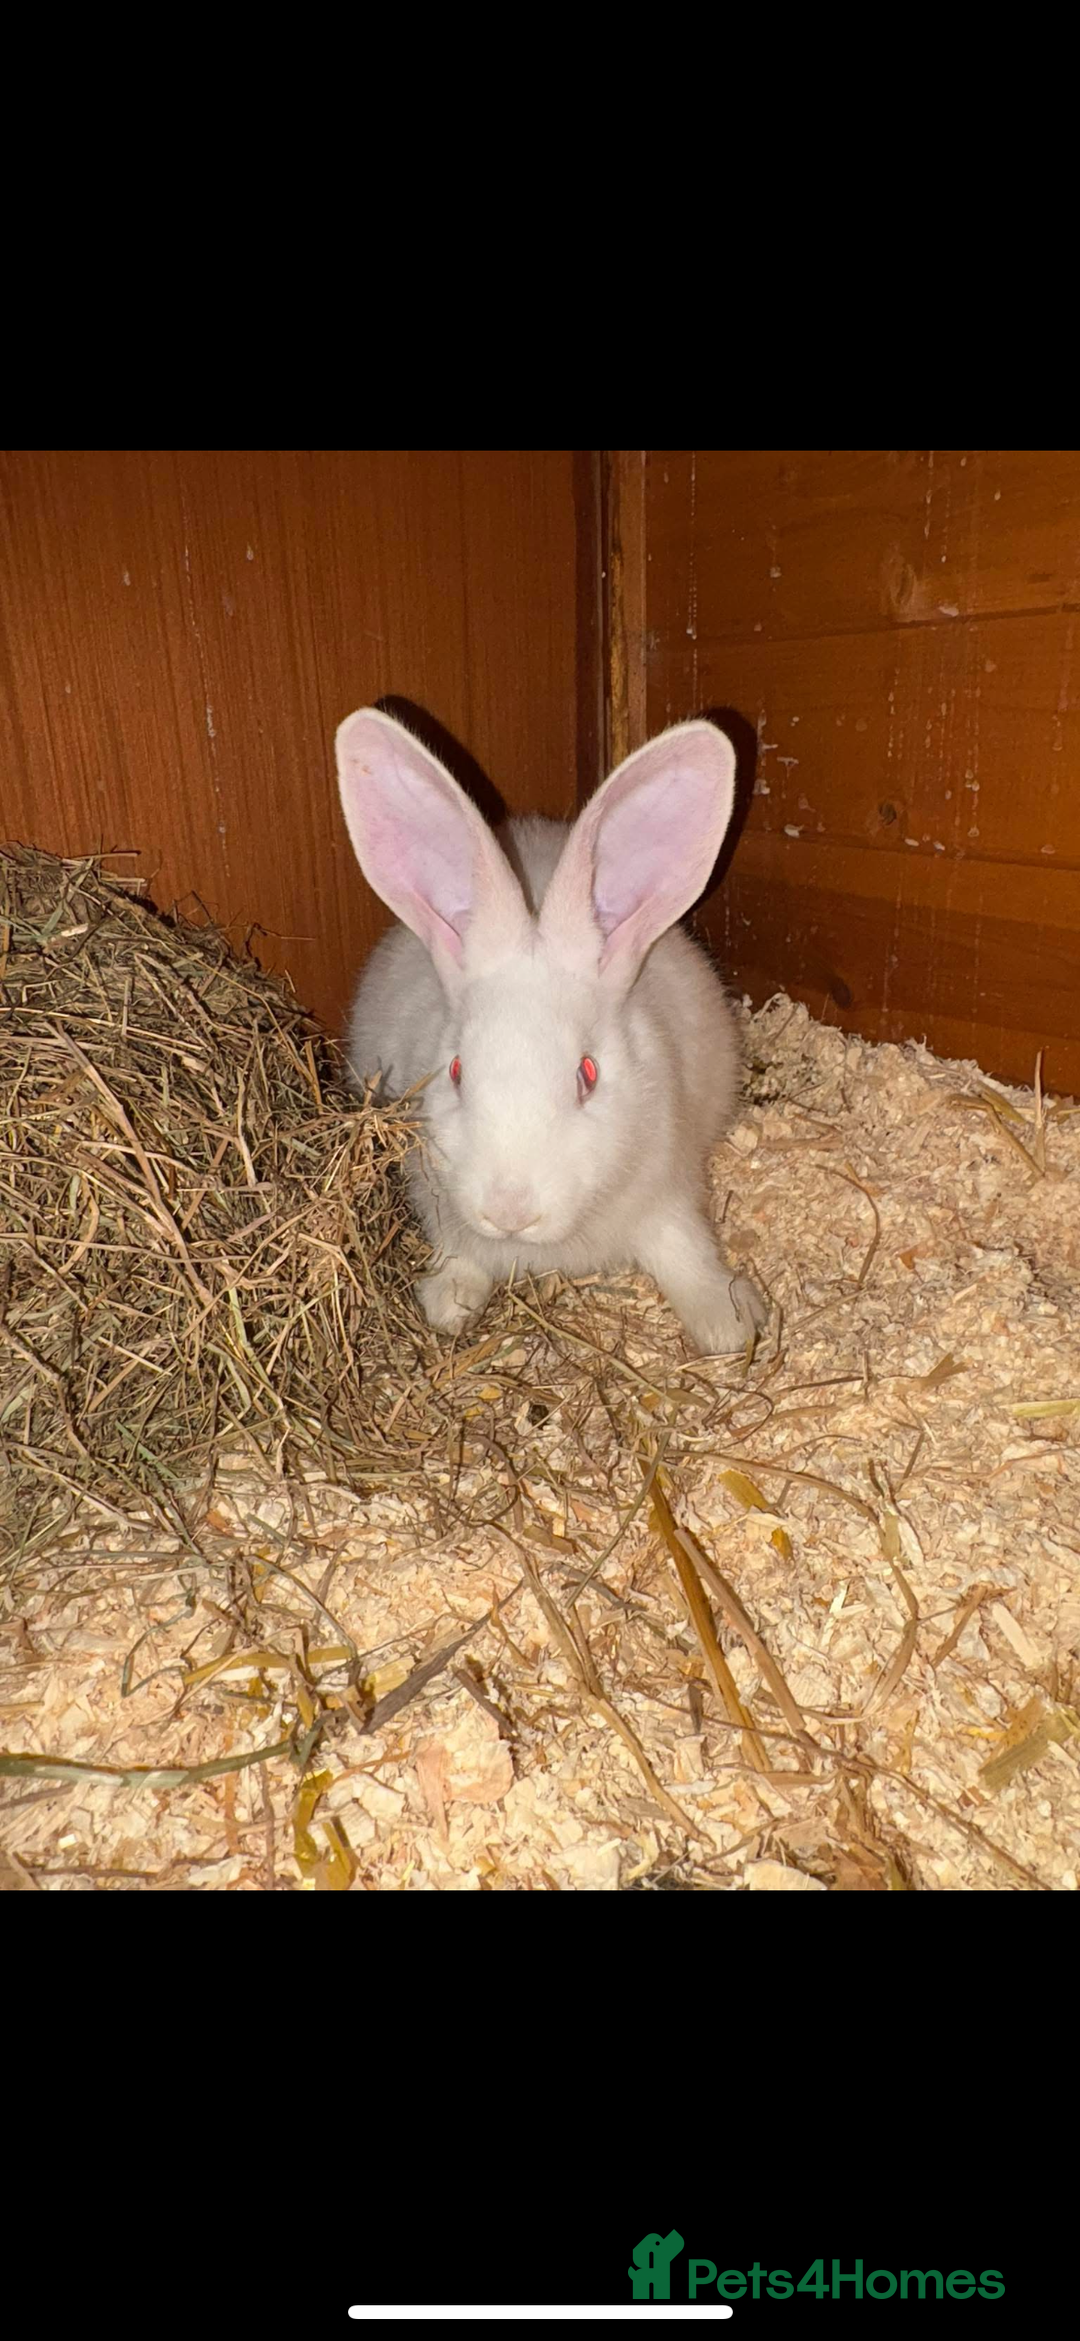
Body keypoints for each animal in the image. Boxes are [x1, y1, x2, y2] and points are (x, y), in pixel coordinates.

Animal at [335, 706, 765, 1354]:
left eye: (588, 1075)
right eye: (456, 1072)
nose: (510, 1213)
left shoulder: (668, 1193)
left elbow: (685, 1252)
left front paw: (729, 1325)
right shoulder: (439, 1203)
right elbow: (461, 1259)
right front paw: (448, 1306)